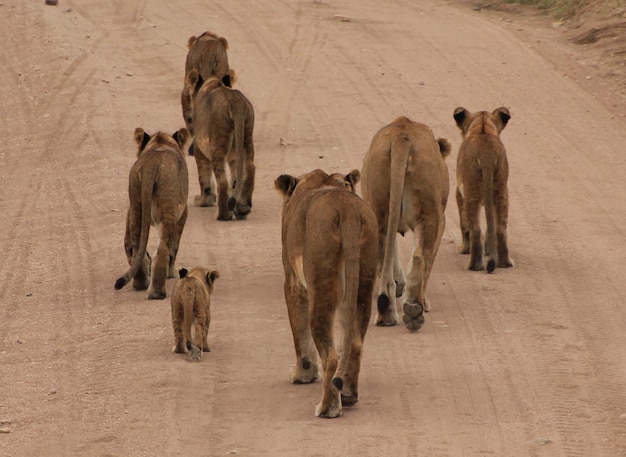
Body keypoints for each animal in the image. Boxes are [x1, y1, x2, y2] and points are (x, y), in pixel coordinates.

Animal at [113, 126, 189, 298]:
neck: (160, 144)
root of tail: (152, 164)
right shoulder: (183, 213)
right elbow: (175, 246)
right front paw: (171, 273)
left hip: (136, 207)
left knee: (136, 248)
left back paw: (141, 283)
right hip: (167, 211)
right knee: (163, 248)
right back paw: (157, 292)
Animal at [184, 69, 255, 221]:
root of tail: (235, 101)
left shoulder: (199, 149)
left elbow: (203, 177)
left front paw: (203, 201)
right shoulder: (234, 157)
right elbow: (235, 177)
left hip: (218, 143)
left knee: (222, 181)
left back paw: (223, 215)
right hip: (246, 138)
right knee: (250, 168)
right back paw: (242, 208)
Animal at [274, 167, 376, 416]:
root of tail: (347, 210)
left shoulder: (293, 284)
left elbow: (299, 333)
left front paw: (302, 375)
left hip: (321, 287)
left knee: (330, 356)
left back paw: (327, 408)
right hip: (362, 284)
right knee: (354, 344)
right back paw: (347, 395)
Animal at [360, 116, 448, 332]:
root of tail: (400, 136)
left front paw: (400, 284)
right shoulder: (441, 219)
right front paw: (423, 302)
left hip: (378, 209)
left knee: (384, 258)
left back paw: (387, 315)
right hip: (429, 215)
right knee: (419, 257)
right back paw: (414, 309)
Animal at [454, 106, 512, 270]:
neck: (482, 128)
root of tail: (487, 155)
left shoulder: (459, 193)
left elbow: (464, 224)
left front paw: (463, 249)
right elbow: (490, 226)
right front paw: (489, 250)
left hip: (471, 192)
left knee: (475, 230)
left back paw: (474, 265)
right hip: (501, 191)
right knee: (500, 228)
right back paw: (505, 262)